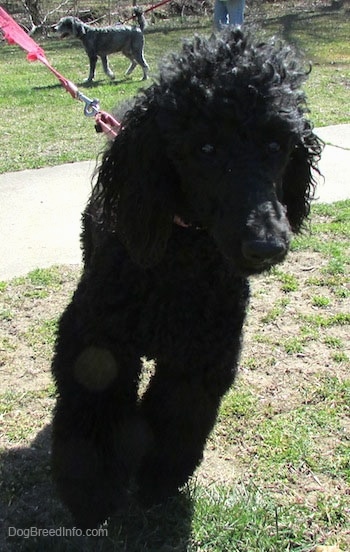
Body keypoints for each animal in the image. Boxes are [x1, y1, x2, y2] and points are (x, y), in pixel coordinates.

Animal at [51, 29, 322, 528]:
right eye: (206, 149)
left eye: (278, 147)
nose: (266, 245)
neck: (180, 260)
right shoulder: (96, 340)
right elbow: (92, 408)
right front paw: (90, 495)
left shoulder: (200, 357)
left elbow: (179, 418)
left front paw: (157, 482)